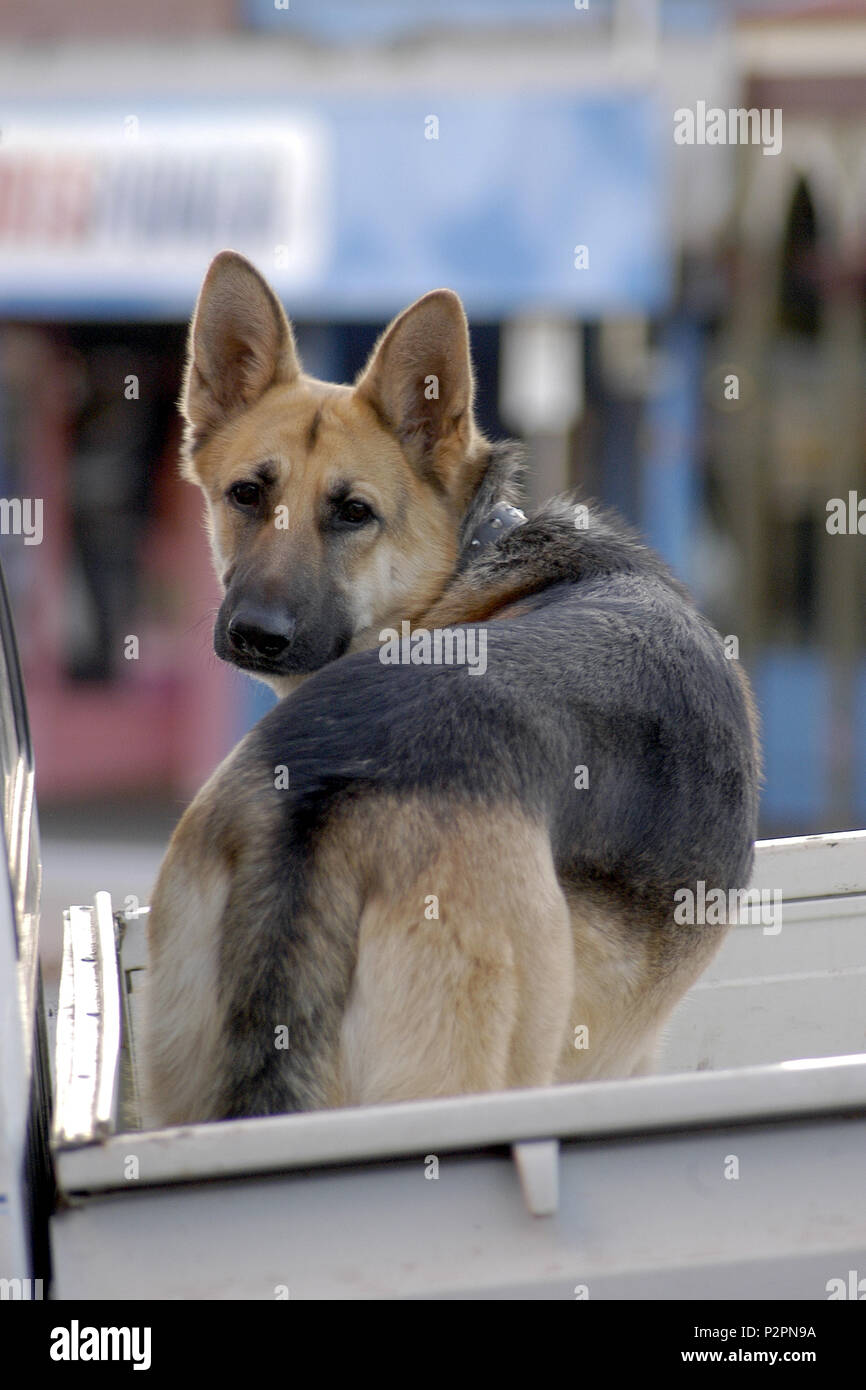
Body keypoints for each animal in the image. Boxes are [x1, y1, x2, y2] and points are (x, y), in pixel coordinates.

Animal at [142, 250, 756, 1128]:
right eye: (247, 494)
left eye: (353, 513)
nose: (256, 632)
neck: (470, 563)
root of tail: (327, 788)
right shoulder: (622, 1062)